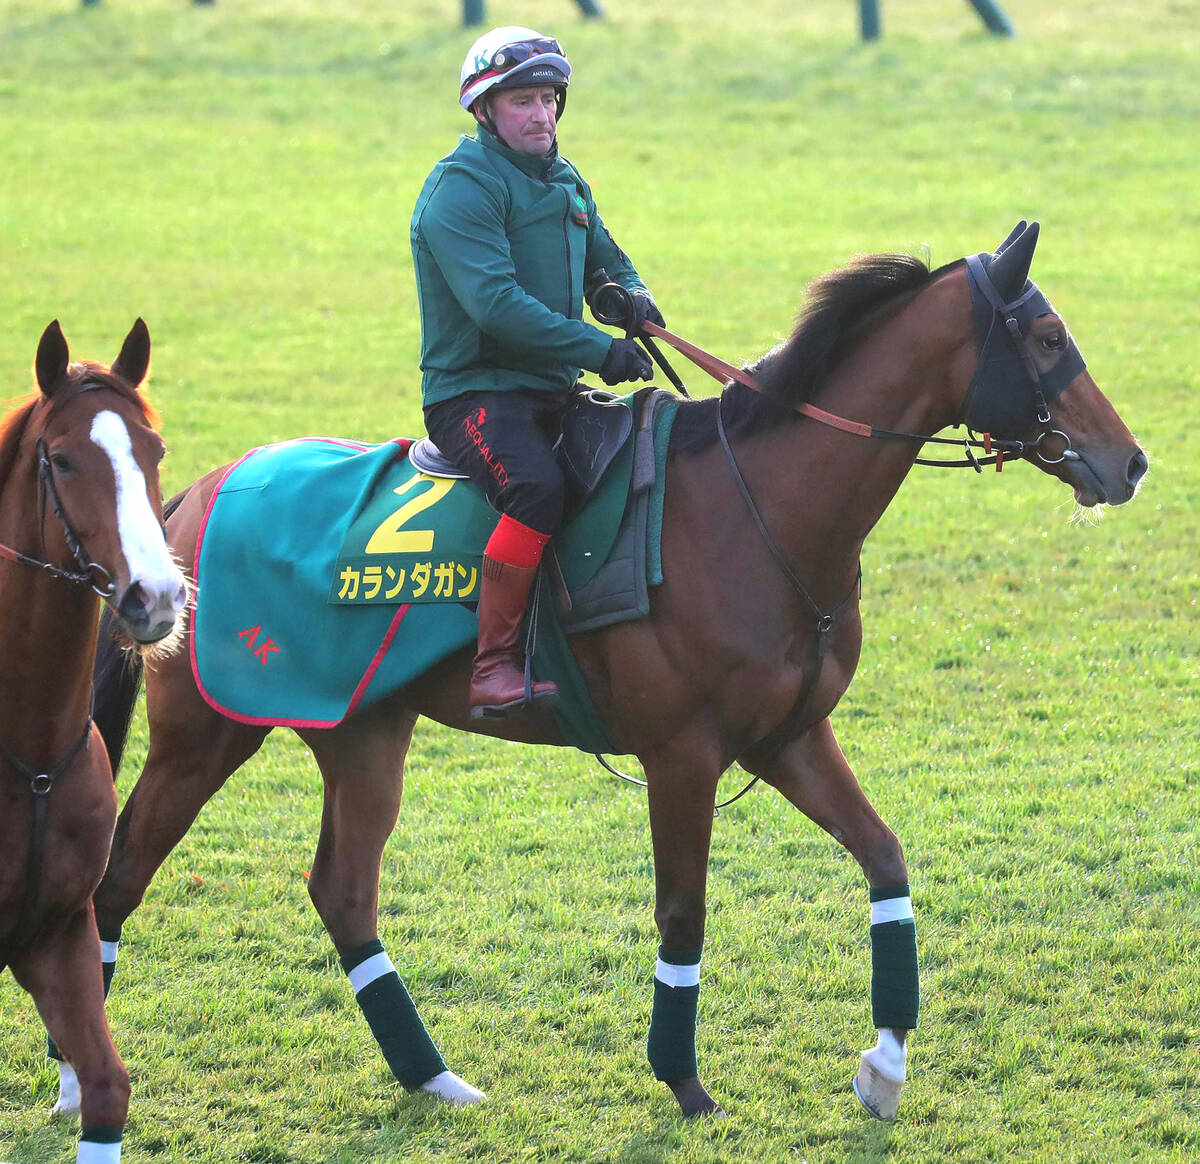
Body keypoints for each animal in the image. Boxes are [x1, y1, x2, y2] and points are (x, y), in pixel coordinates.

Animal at [62, 223, 1145, 1123]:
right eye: (1046, 335)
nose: (1129, 461)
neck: (756, 508)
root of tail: (194, 494)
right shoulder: (683, 755)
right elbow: (684, 912)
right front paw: (684, 1079)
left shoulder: (790, 738)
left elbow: (884, 859)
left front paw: (883, 1065)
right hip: (208, 735)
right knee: (115, 883)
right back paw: (79, 1081)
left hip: (363, 730)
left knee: (343, 892)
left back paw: (431, 1075)